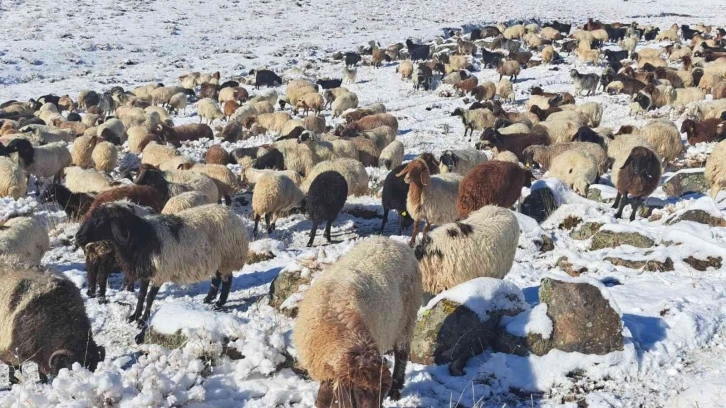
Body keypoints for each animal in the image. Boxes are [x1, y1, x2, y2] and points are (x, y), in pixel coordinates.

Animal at [294, 237, 424, 404]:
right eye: (362, 390)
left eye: (381, 393)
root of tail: (396, 243)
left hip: (406, 318)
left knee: (401, 354)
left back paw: (396, 391)